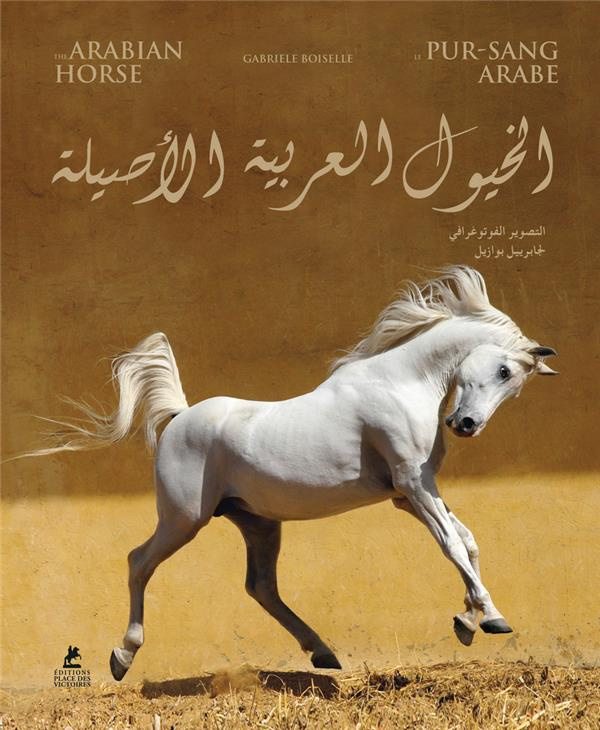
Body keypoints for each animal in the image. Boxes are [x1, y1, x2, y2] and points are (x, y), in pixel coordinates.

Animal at [27, 266, 557, 680]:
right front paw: (491, 619)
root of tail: (179, 417)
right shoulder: (412, 484)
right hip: (183, 519)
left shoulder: (410, 493)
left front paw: (468, 621)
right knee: (139, 562)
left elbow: (467, 541)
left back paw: (322, 653)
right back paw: (122, 656)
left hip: (257, 522)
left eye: (513, 383)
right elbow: (452, 545)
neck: (400, 383)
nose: (465, 424)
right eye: (505, 371)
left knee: (261, 586)